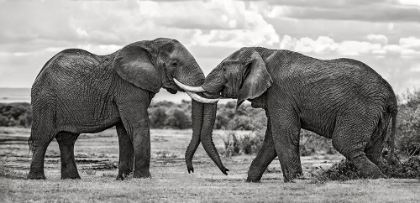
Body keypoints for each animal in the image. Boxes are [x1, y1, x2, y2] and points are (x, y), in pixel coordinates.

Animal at [27, 37, 230, 179]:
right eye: (174, 64)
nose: (191, 170)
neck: (149, 44)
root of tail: (41, 71)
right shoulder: (127, 87)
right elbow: (138, 125)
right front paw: (143, 178)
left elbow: (125, 131)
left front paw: (123, 178)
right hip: (45, 100)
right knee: (43, 137)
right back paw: (37, 178)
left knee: (67, 140)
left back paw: (72, 179)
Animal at [176, 47, 398, 182]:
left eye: (223, 68)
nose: (227, 171)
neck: (262, 52)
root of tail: (391, 94)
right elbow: (272, 139)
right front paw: (251, 181)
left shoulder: (279, 93)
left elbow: (283, 133)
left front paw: (295, 181)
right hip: (377, 115)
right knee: (373, 150)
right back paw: (385, 175)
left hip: (360, 110)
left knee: (345, 145)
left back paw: (379, 177)